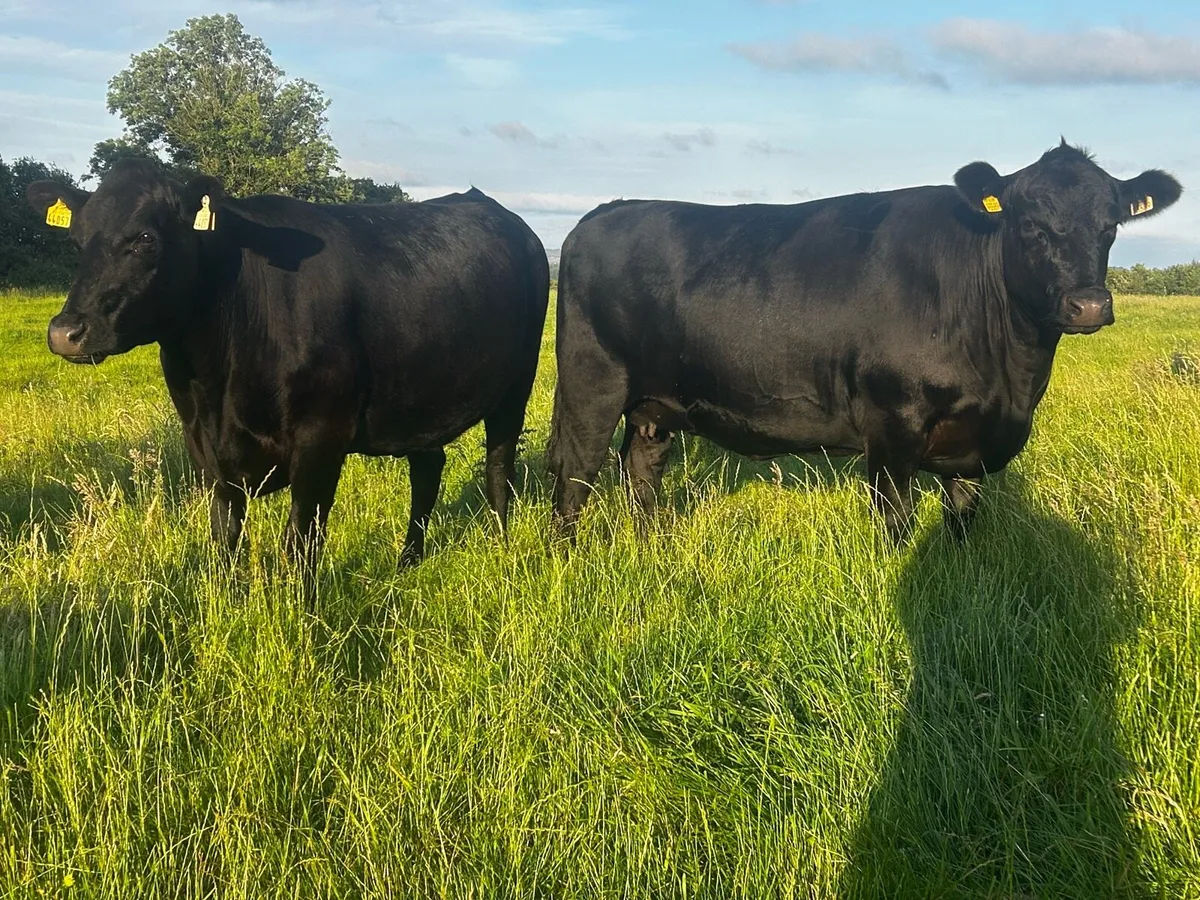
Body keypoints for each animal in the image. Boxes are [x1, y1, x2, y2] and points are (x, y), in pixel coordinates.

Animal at [28, 160, 549, 572]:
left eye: (144, 238)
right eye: (76, 240)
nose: (65, 331)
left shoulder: (321, 436)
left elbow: (301, 541)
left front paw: (304, 619)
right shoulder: (204, 446)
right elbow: (225, 538)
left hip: (517, 383)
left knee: (499, 465)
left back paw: (501, 546)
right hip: (422, 390)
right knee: (428, 466)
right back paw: (408, 562)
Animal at [547, 141, 1181, 542]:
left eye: (1111, 225)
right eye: (1030, 223)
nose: (1089, 305)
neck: (1011, 380)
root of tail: (600, 213)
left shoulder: (974, 442)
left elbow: (962, 522)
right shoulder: (893, 425)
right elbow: (897, 523)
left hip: (654, 402)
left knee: (642, 468)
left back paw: (650, 545)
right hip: (590, 382)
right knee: (575, 477)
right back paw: (568, 560)